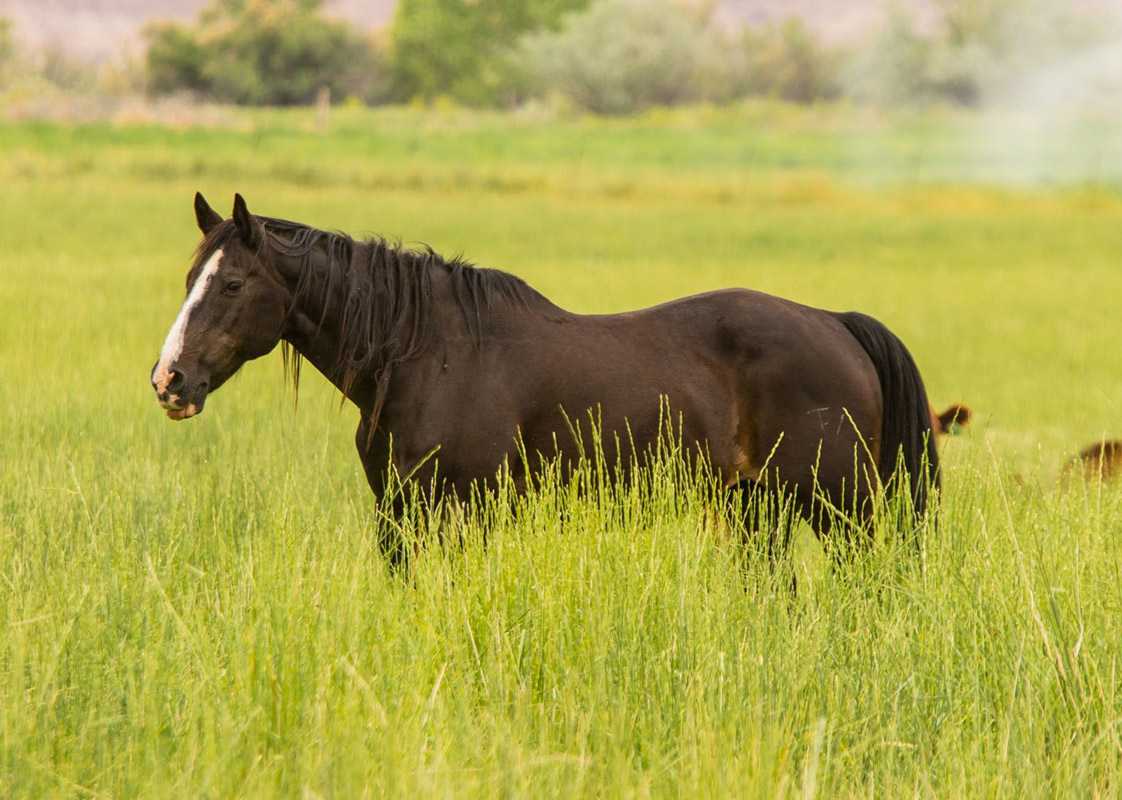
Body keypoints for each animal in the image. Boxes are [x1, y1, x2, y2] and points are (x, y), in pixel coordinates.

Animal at [150, 193, 940, 563]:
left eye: (231, 285)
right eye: (190, 279)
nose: (170, 380)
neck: (424, 352)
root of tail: (835, 322)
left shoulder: (459, 511)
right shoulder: (397, 514)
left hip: (841, 507)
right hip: (757, 508)